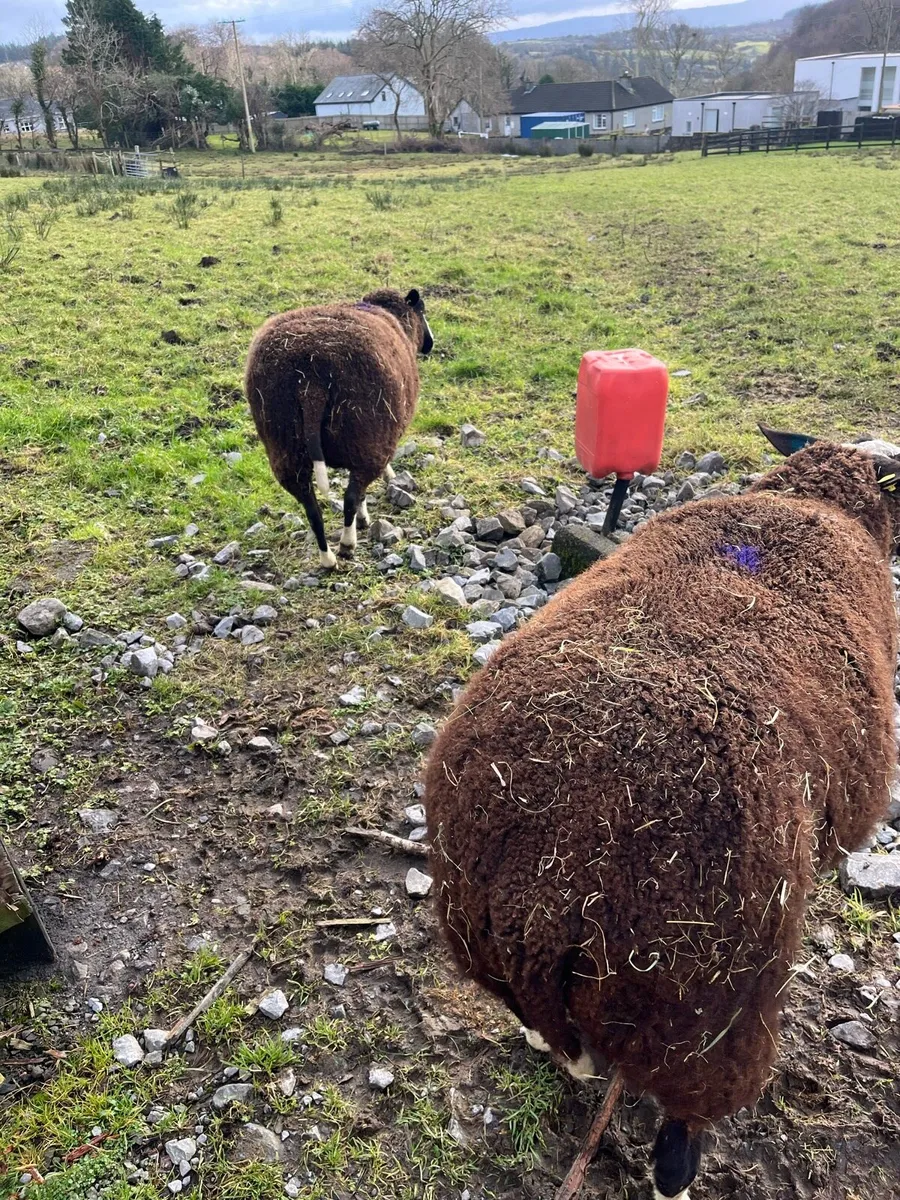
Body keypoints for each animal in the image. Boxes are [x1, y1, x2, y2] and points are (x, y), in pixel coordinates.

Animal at [244, 288, 433, 568]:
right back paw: (347, 545)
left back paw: (328, 558)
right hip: (367, 439)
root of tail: (309, 381)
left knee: (312, 508)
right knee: (351, 497)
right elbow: (362, 492)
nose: (430, 344)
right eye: (422, 310)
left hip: (286, 448)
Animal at [424, 429, 900, 1199]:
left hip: (483, 939)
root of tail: (547, 890)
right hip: (705, 1021)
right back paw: (673, 1172)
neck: (816, 501)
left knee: (549, 1033)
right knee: (682, 1133)